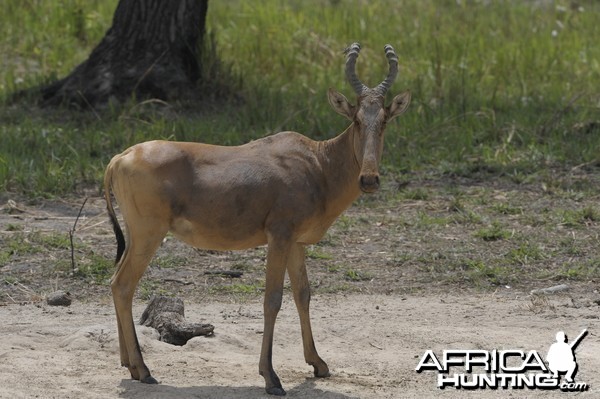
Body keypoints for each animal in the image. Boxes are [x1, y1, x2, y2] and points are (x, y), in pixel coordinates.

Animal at [105, 42, 410, 396]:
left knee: (116, 282)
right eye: (357, 119)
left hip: (136, 235)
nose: (369, 179)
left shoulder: (295, 242)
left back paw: (130, 365)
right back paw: (144, 370)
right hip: (148, 234)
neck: (317, 162)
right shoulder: (279, 236)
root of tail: (120, 158)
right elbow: (272, 300)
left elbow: (303, 294)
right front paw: (271, 378)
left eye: (385, 119)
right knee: (124, 285)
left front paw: (318, 364)